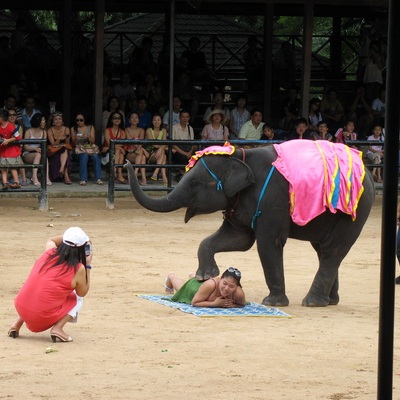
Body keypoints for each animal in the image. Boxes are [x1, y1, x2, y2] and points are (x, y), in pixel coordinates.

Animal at [125, 142, 376, 308]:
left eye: (195, 183)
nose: (127, 161)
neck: (241, 155)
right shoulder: (239, 202)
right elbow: (238, 239)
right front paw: (205, 276)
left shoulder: (272, 202)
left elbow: (267, 243)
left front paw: (273, 303)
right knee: (323, 251)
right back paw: (330, 301)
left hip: (353, 213)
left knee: (333, 250)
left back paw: (312, 302)